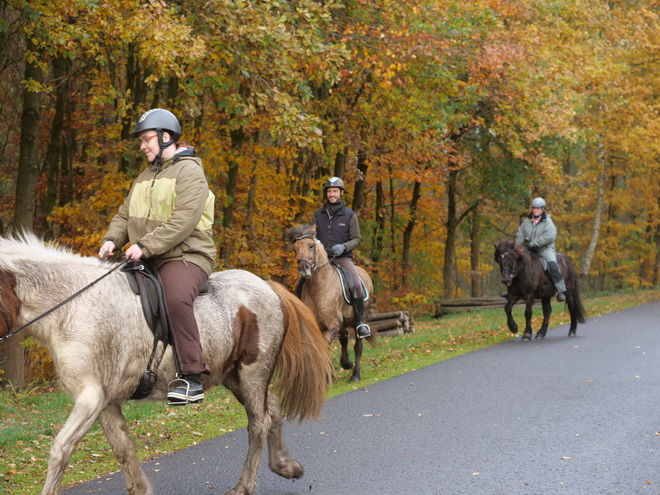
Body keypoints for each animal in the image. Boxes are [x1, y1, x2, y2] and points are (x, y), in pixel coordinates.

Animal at [0, 233, 332, 495]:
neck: (76, 305)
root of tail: (267, 286)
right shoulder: (104, 400)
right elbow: (122, 448)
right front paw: (140, 489)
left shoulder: (90, 397)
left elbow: (60, 450)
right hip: (233, 375)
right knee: (272, 408)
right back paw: (285, 466)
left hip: (253, 372)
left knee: (258, 423)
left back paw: (243, 487)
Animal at [286, 225, 374, 384]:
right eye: (294, 249)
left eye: (311, 245)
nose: (303, 268)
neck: (318, 288)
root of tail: (363, 272)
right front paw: (329, 374)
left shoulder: (334, 324)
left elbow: (326, 343)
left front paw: (327, 376)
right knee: (344, 339)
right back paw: (346, 363)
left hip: (359, 320)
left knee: (358, 346)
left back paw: (355, 375)